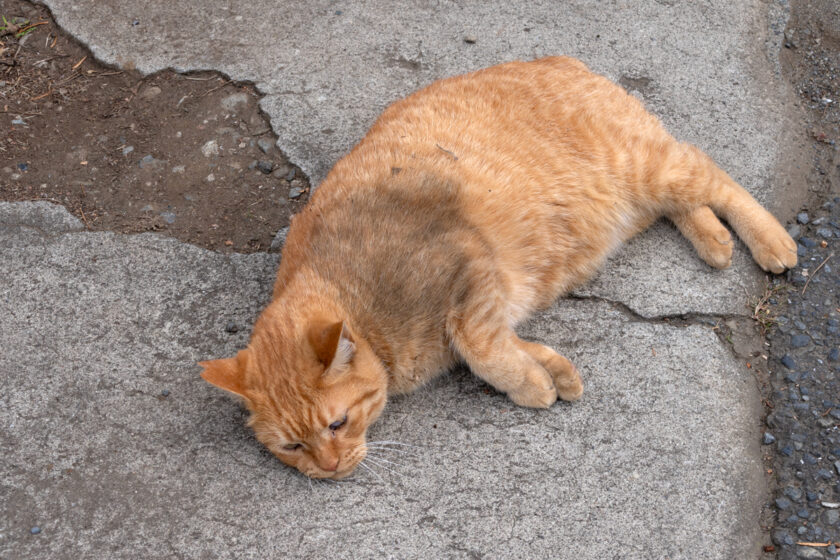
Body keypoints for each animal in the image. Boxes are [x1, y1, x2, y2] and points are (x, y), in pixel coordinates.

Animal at [200, 57, 796, 480]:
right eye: (291, 446)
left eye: (338, 423)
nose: (325, 469)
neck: (361, 305)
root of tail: (563, 60)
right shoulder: (484, 304)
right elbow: (503, 345)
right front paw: (550, 370)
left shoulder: (471, 274)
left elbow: (481, 348)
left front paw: (530, 384)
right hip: (645, 196)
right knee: (686, 203)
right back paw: (713, 240)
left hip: (649, 168)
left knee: (714, 175)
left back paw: (769, 240)